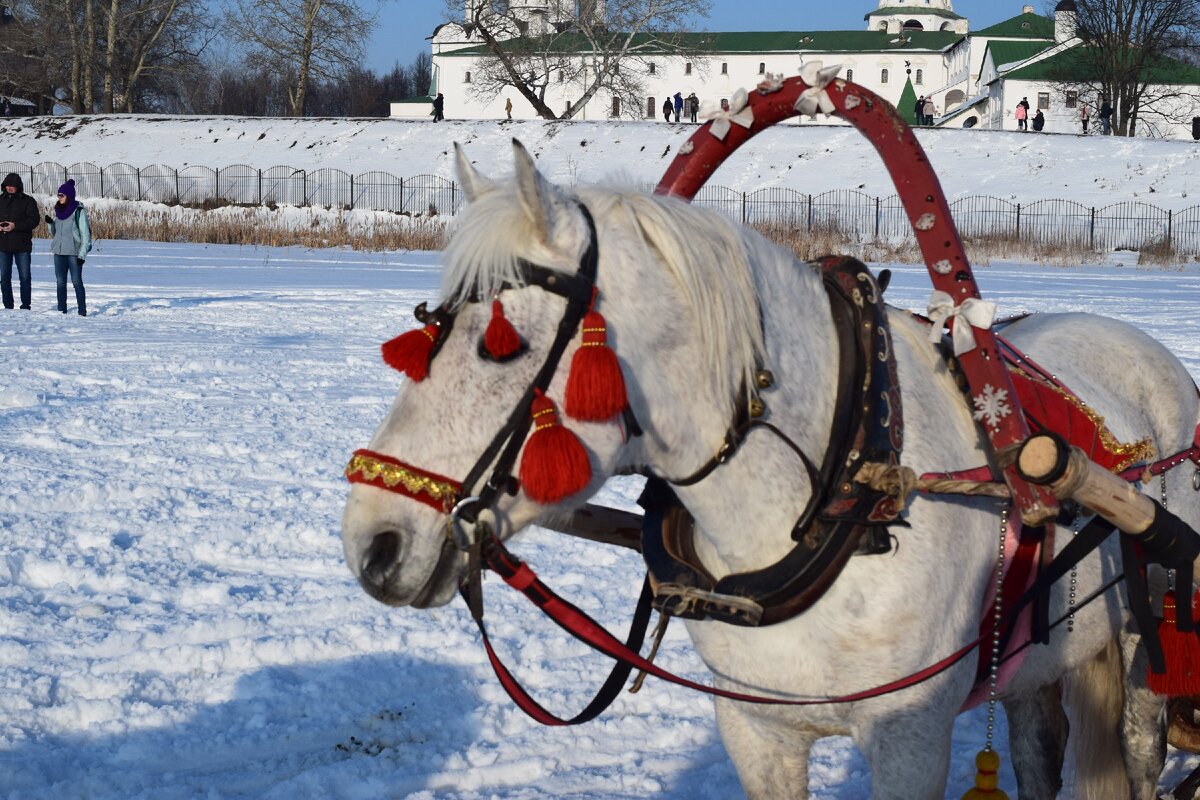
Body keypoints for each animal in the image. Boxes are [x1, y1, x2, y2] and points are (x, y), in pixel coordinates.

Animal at [340, 140, 1200, 796]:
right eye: (427, 328)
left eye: (501, 345)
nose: (373, 544)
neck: (840, 491)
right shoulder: (756, 728)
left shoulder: (909, 737)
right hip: (1037, 663)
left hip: (1147, 639)